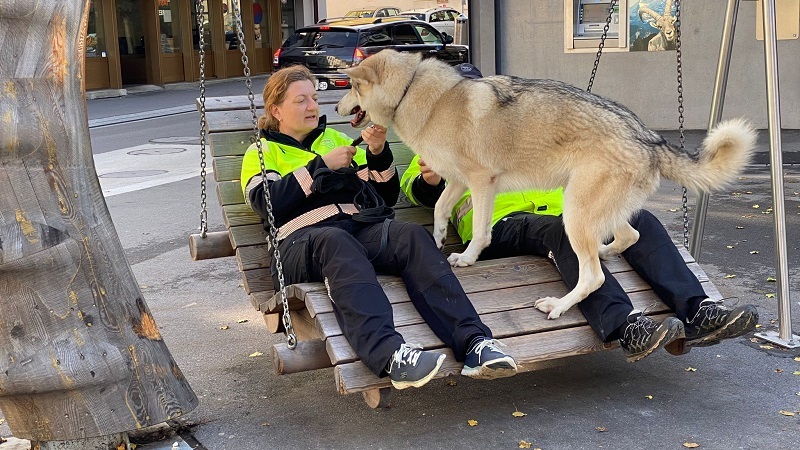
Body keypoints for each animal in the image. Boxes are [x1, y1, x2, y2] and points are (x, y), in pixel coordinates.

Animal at [336, 50, 756, 320]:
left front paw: (467, 258)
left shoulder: (481, 182)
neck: (414, 91)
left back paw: (558, 305)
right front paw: (440, 238)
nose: (336, 109)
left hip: (576, 212)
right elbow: (439, 208)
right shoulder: (457, 180)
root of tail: (649, 138)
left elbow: (481, 234)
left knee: (594, 276)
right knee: (627, 238)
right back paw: (604, 252)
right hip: (589, 211)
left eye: (352, 87)